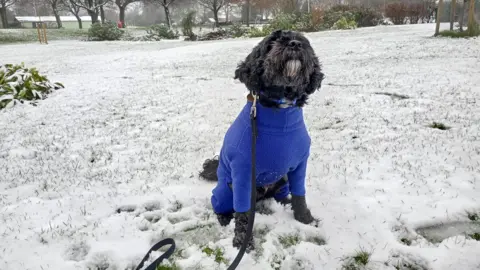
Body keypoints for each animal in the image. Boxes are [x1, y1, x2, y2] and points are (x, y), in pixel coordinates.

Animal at [200, 29, 326, 249]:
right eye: (273, 41)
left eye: (302, 40)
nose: (294, 44)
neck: (281, 108)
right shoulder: (242, 172)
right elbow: (242, 212)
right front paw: (242, 242)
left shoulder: (300, 164)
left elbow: (300, 195)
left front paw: (306, 220)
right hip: (226, 189)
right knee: (219, 203)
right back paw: (223, 218)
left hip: (282, 180)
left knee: (282, 194)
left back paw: (284, 203)